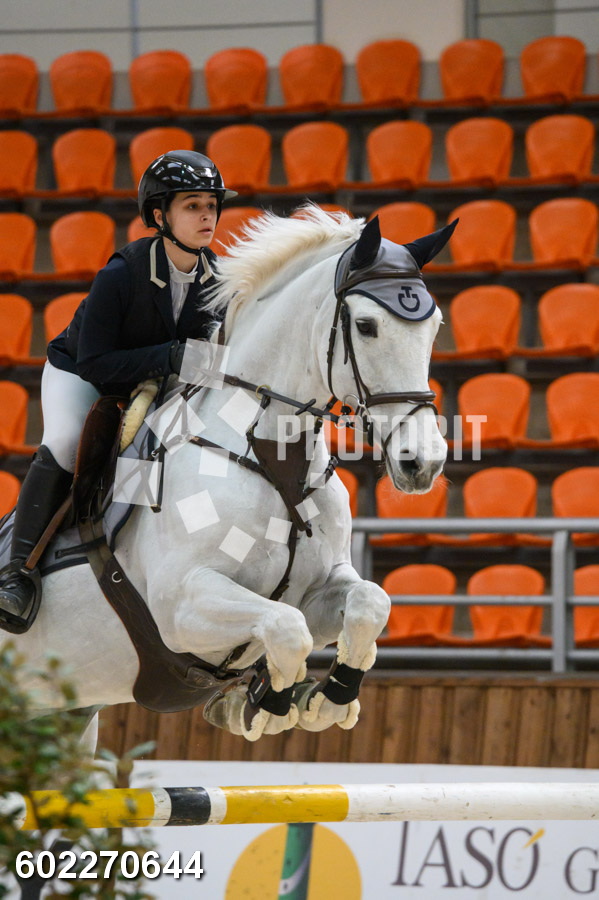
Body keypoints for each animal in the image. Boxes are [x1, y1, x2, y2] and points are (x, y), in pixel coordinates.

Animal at [6, 205, 451, 744]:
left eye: (435, 327)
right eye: (366, 326)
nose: (422, 463)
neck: (270, 454)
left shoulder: (320, 588)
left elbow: (370, 602)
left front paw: (325, 700)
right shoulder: (182, 605)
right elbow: (287, 629)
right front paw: (268, 704)